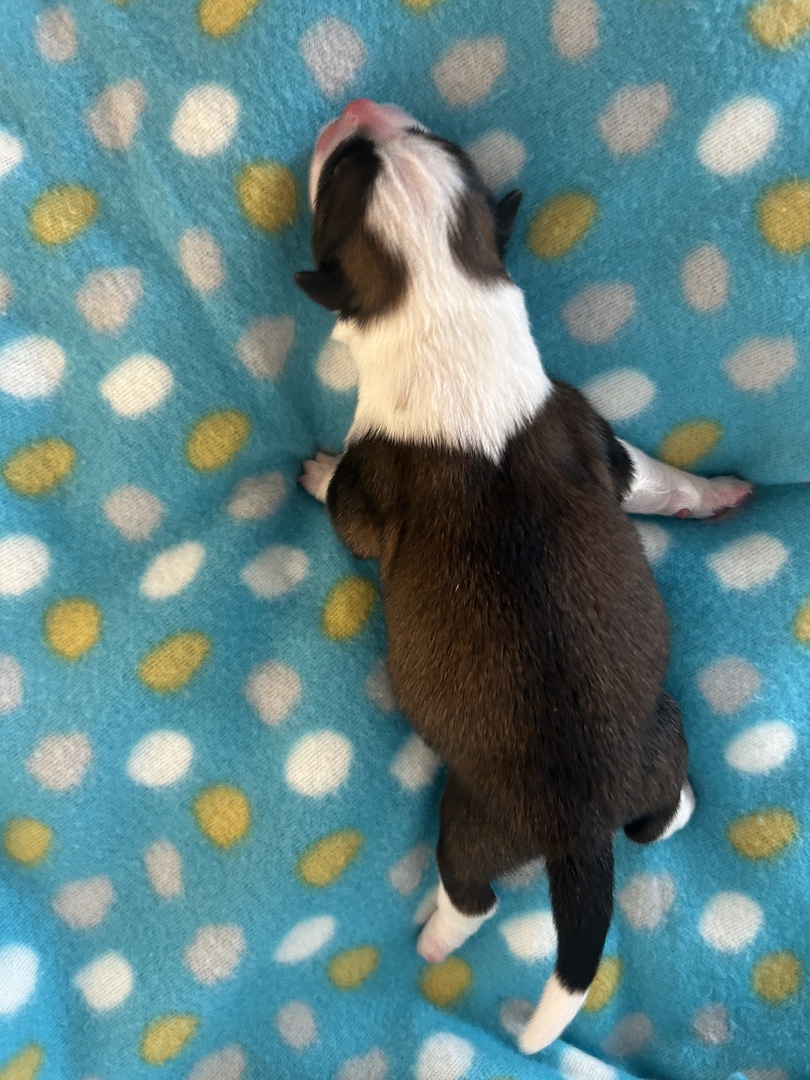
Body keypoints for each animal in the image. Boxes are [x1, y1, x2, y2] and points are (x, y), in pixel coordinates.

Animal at [295, 99, 753, 1054]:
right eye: (438, 143)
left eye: (340, 176)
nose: (359, 110)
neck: (442, 302)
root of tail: (582, 836)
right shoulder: (593, 432)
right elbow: (654, 478)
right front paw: (715, 493)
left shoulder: (367, 486)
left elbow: (344, 508)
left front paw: (313, 474)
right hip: (659, 740)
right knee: (663, 820)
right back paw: (683, 803)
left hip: (473, 825)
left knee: (472, 892)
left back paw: (436, 938)